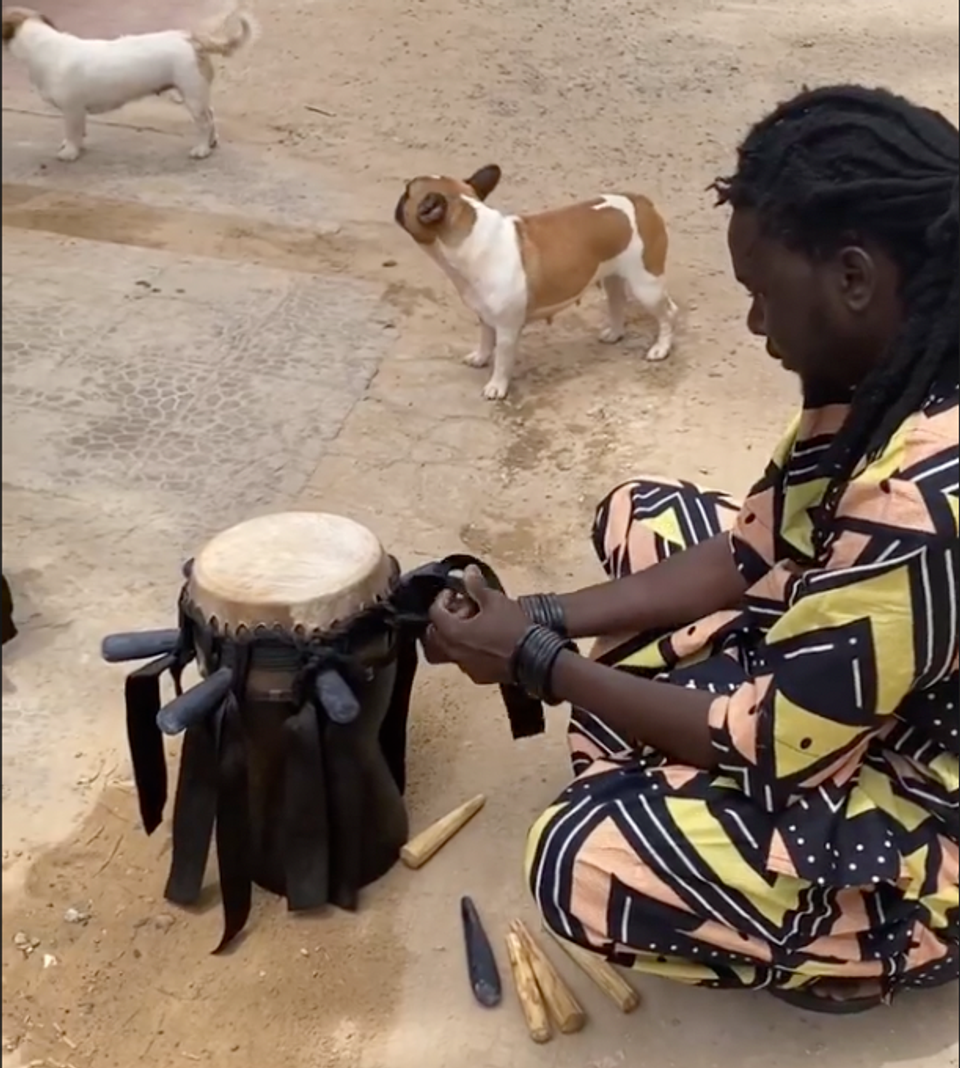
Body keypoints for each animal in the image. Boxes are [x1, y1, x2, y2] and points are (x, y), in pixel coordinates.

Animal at [1, 4, 257, 162]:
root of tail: (192, 38)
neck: (41, 44)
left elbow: (73, 133)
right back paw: (211, 143)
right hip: (196, 93)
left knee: (204, 123)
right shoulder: (77, 112)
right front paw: (71, 146)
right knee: (211, 115)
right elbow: (77, 132)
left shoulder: (72, 110)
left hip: (192, 95)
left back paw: (201, 149)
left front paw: (70, 152)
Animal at [395, 164, 679, 399]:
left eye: (407, 193)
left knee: (666, 314)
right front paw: (480, 357)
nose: (399, 198)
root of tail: (641, 202)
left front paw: (496, 386)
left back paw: (660, 348)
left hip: (647, 285)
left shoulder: (507, 328)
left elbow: (502, 359)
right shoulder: (485, 316)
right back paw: (615, 333)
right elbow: (486, 339)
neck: (471, 233)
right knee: (617, 301)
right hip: (613, 276)